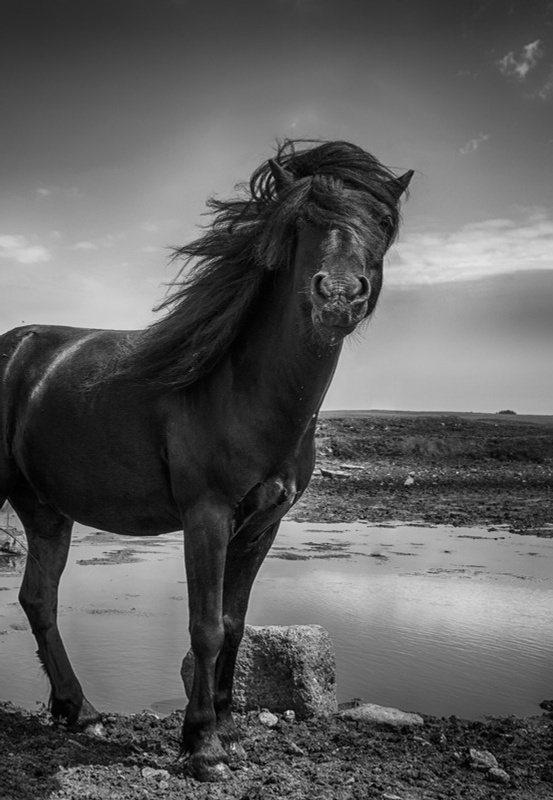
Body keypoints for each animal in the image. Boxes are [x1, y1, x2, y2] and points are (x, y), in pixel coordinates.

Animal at [0, 139, 412, 781]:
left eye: (383, 223)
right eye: (303, 220)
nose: (339, 296)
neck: (240, 389)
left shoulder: (262, 526)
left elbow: (236, 626)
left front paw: (228, 729)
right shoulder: (207, 517)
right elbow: (207, 627)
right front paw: (202, 745)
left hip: (46, 510)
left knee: (38, 600)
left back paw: (79, 710)